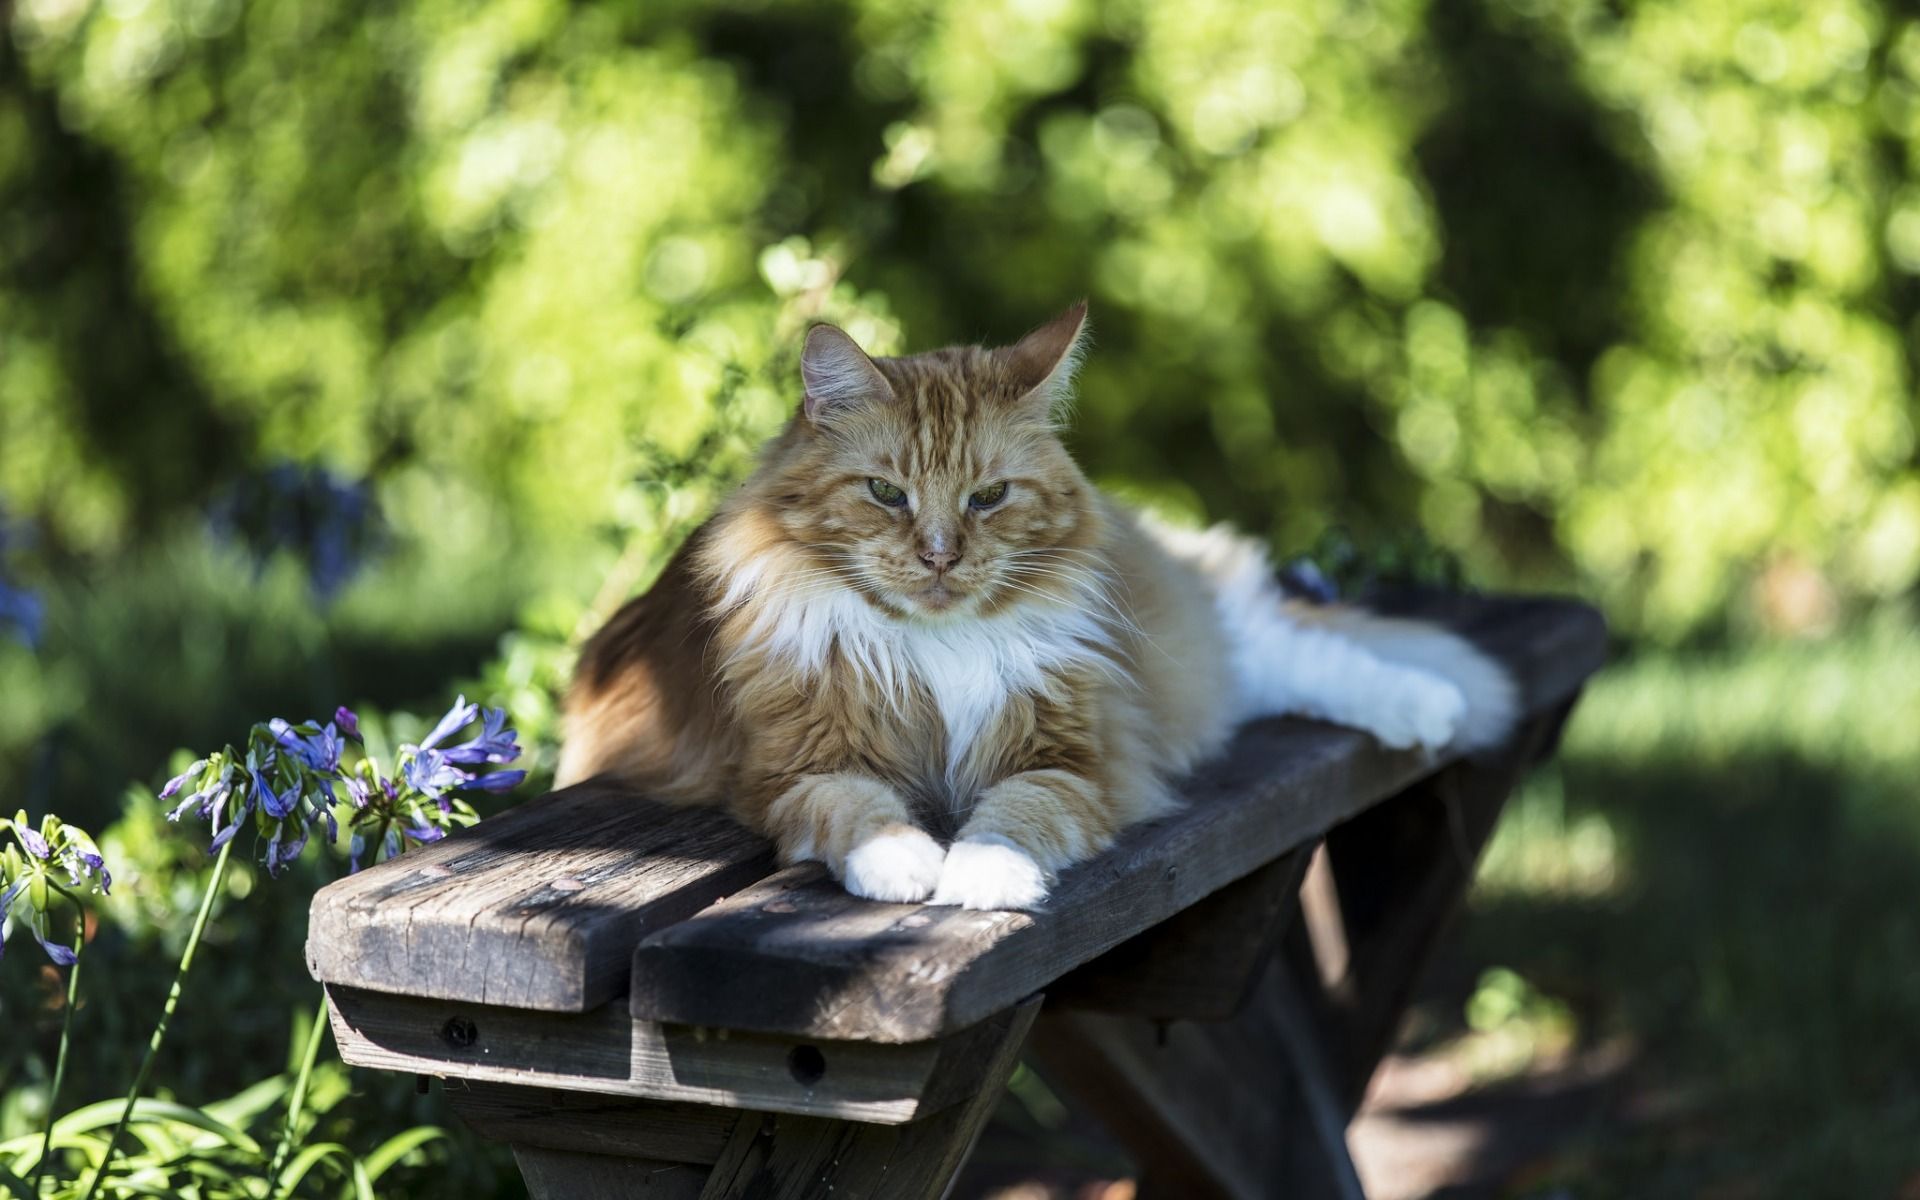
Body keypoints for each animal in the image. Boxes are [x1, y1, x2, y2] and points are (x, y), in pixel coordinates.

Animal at [556, 307, 1512, 906]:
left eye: (987, 498)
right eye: (886, 494)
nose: (941, 556)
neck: (934, 646)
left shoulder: (1066, 757)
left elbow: (1015, 817)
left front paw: (982, 878)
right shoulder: (799, 767)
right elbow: (859, 813)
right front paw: (905, 864)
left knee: (1302, 652)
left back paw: (1429, 704)